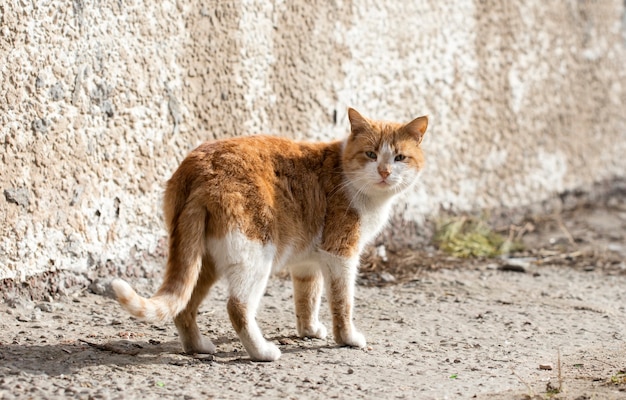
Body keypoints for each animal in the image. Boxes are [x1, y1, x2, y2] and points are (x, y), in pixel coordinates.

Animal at [111, 108, 424, 362]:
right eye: (371, 154)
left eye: (399, 158)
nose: (384, 172)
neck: (348, 175)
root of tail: (200, 167)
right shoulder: (340, 253)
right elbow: (342, 301)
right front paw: (347, 338)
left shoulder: (307, 262)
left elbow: (307, 298)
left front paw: (309, 330)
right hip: (255, 256)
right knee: (236, 307)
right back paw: (262, 352)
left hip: (203, 260)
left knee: (185, 306)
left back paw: (197, 346)